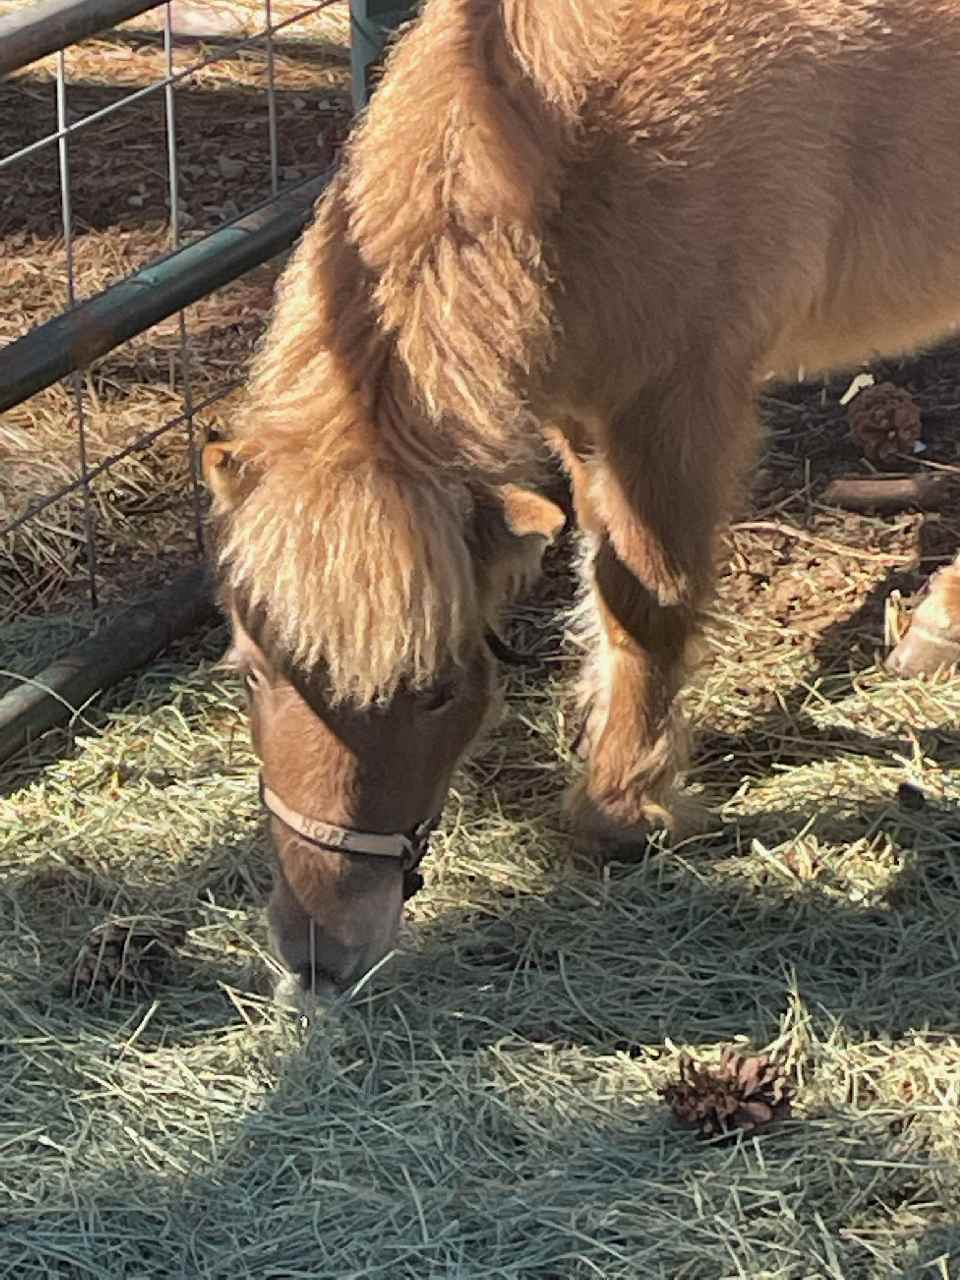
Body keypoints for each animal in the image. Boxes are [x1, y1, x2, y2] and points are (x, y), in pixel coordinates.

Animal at [203, 0, 960, 999]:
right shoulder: (582, 410)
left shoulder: (677, 400)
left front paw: (622, 807)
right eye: (252, 670)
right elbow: (602, 576)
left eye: (439, 693)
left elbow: (651, 600)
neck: (568, 132)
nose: (320, 957)